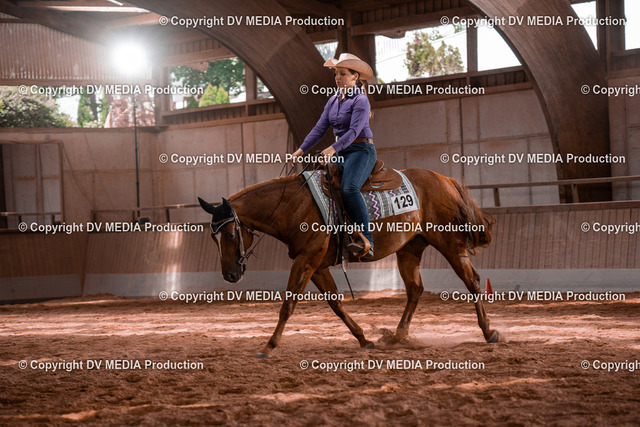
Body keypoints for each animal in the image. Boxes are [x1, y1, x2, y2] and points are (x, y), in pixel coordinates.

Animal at [198, 168, 498, 358]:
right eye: (212, 237)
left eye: (229, 233)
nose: (230, 275)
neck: (292, 205)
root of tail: (444, 179)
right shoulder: (316, 265)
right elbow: (336, 304)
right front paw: (364, 339)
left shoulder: (306, 261)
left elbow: (288, 305)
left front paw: (268, 346)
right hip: (409, 249)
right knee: (415, 289)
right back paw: (397, 336)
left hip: (450, 244)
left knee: (472, 281)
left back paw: (489, 332)